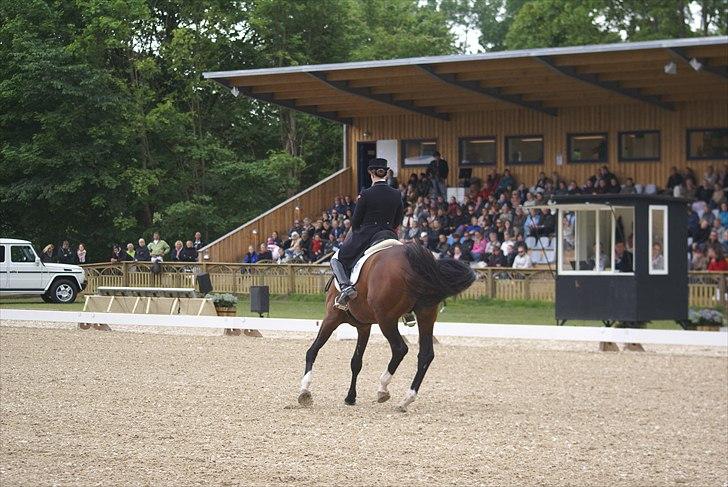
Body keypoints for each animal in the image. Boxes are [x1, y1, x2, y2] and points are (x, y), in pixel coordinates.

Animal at [298, 243, 474, 412]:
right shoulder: (364, 327)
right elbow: (356, 362)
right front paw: (350, 397)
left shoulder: (331, 318)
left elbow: (312, 351)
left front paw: (304, 391)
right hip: (426, 314)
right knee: (426, 354)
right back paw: (406, 399)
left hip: (386, 319)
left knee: (400, 349)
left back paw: (383, 388)